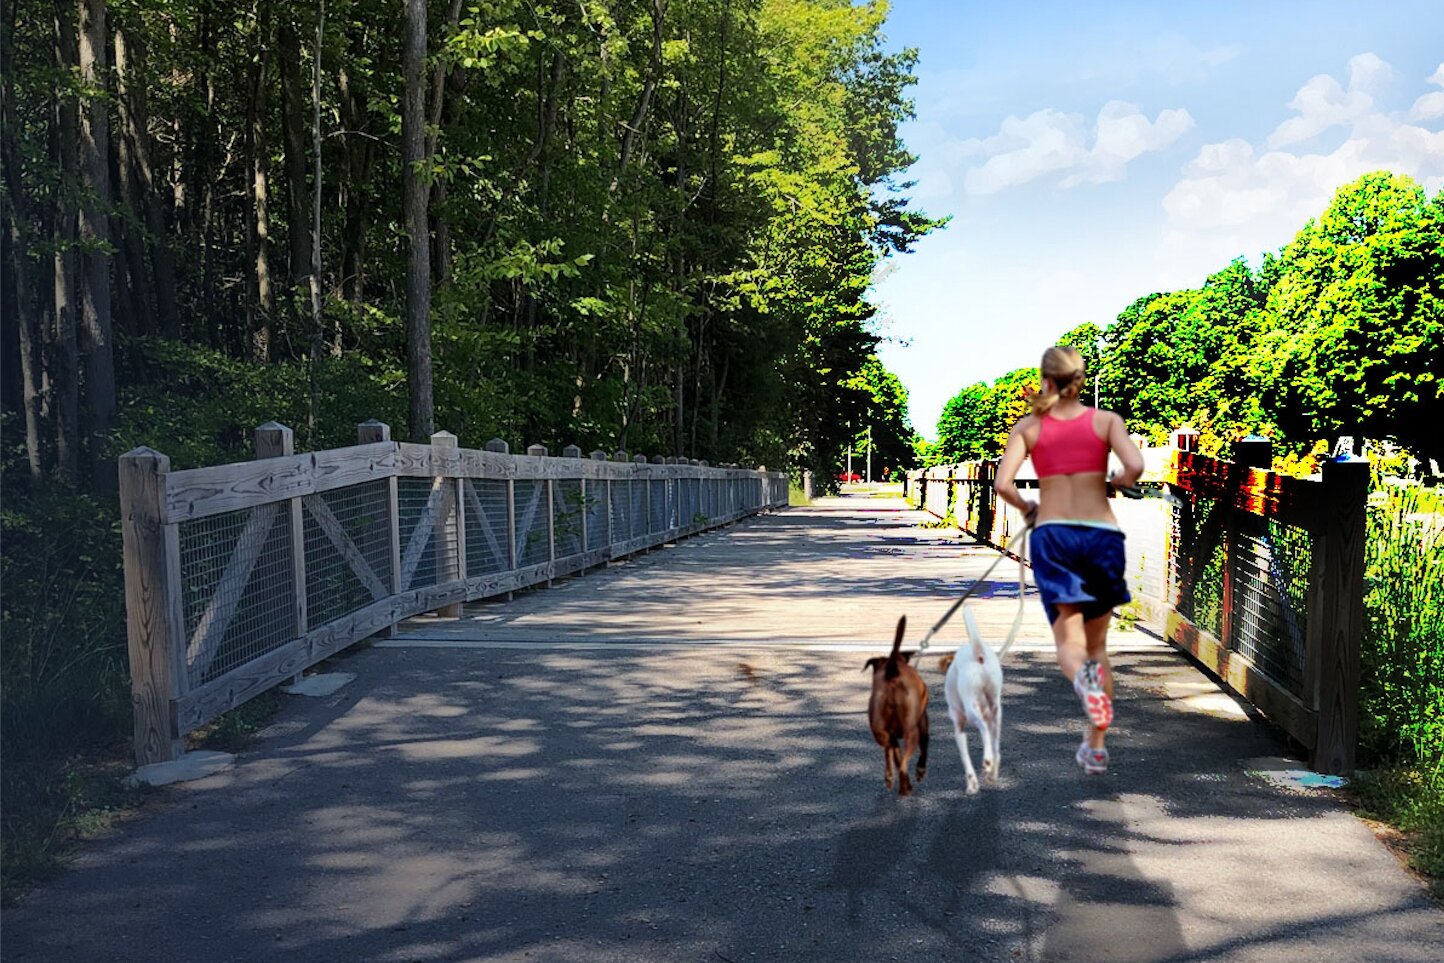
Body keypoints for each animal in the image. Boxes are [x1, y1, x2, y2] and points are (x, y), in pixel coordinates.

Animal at [860, 617, 929, 796]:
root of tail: (892, 671)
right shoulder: (924, 721)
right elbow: (925, 745)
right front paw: (920, 770)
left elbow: (894, 754)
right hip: (911, 731)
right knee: (904, 761)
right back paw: (906, 785)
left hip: (879, 730)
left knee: (892, 752)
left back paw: (892, 779)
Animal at [941, 606, 1010, 796]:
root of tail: (978, 653)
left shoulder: (958, 729)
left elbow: (966, 761)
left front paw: (972, 785)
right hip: (996, 712)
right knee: (996, 748)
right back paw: (992, 773)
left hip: (971, 708)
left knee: (984, 730)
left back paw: (987, 762)